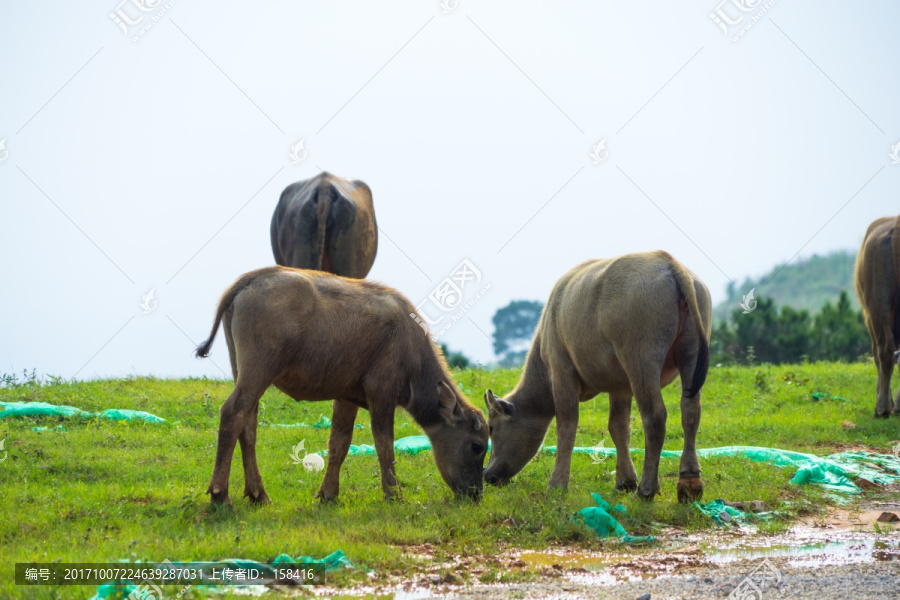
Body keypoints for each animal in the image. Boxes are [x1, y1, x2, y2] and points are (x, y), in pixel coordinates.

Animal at [194, 264, 488, 504]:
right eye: (477, 446)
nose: (475, 494)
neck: (410, 345)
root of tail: (251, 280)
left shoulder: (346, 397)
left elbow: (339, 442)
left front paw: (328, 494)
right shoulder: (381, 393)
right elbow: (384, 444)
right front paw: (394, 493)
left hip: (242, 370)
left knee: (248, 423)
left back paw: (258, 494)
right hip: (259, 369)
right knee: (232, 413)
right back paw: (220, 494)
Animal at [486, 251, 712, 504]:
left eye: (491, 428)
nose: (487, 475)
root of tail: (670, 263)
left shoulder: (561, 372)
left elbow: (566, 426)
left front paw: (557, 484)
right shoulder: (620, 387)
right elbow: (618, 426)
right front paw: (625, 480)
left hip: (641, 359)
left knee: (654, 417)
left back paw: (646, 489)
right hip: (690, 355)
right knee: (690, 410)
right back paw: (689, 481)